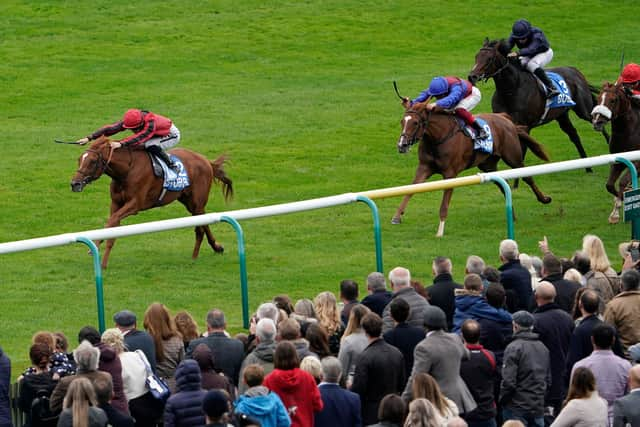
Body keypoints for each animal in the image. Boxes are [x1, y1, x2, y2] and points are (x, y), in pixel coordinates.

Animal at [70, 137, 235, 270]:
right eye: (79, 159)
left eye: (92, 161)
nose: (74, 184)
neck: (127, 170)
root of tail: (206, 161)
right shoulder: (116, 203)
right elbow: (111, 224)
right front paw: (96, 249)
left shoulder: (135, 204)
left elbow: (112, 223)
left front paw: (101, 258)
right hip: (188, 202)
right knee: (203, 224)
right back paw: (211, 250)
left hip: (197, 203)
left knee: (201, 226)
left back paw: (201, 254)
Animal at [392, 103, 552, 237]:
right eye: (402, 122)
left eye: (415, 123)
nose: (402, 145)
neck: (438, 137)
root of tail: (505, 118)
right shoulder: (424, 167)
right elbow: (411, 189)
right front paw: (397, 216)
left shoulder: (450, 174)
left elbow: (444, 204)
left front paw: (440, 231)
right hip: (488, 166)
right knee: (503, 184)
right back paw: (511, 215)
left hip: (513, 158)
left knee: (527, 177)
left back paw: (544, 199)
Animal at [468, 36, 608, 171]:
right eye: (476, 56)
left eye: (489, 59)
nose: (472, 76)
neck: (511, 90)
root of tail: (575, 71)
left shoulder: (525, 126)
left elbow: (522, 150)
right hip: (561, 115)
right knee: (574, 135)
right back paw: (587, 167)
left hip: (583, 110)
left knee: (597, 121)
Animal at [592, 83, 640, 224]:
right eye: (598, 98)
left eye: (613, 100)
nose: (597, 122)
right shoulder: (617, 161)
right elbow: (609, 185)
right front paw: (616, 211)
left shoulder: (637, 162)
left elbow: (622, 182)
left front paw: (617, 211)